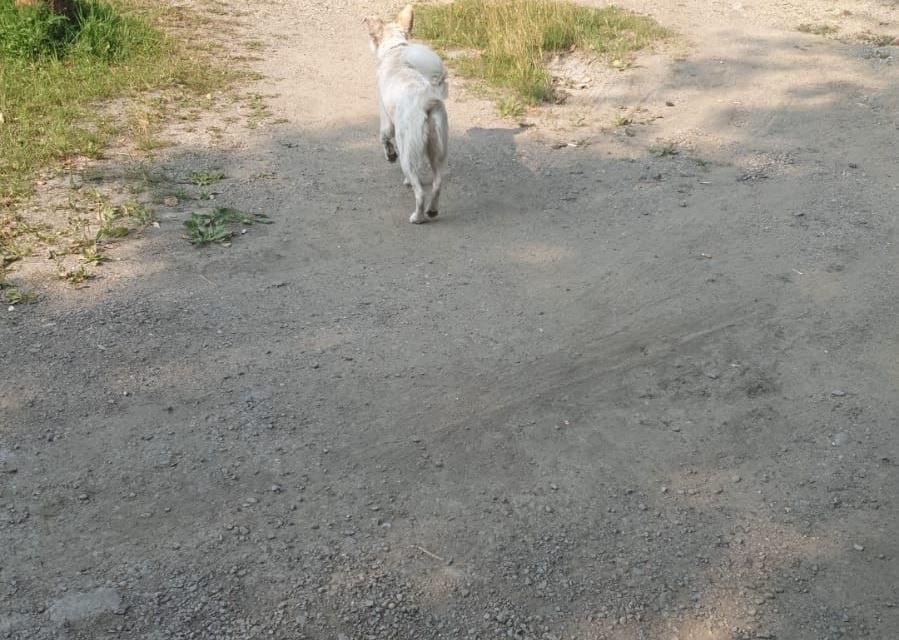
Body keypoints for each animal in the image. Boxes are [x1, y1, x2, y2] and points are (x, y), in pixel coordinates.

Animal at [364, 5, 448, 224]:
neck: (397, 50)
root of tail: (426, 99)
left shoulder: (385, 119)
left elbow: (384, 138)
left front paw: (390, 155)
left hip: (408, 148)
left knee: (420, 193)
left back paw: (417, 217)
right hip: (437, 150)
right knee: (437, 184)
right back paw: (432, 211)